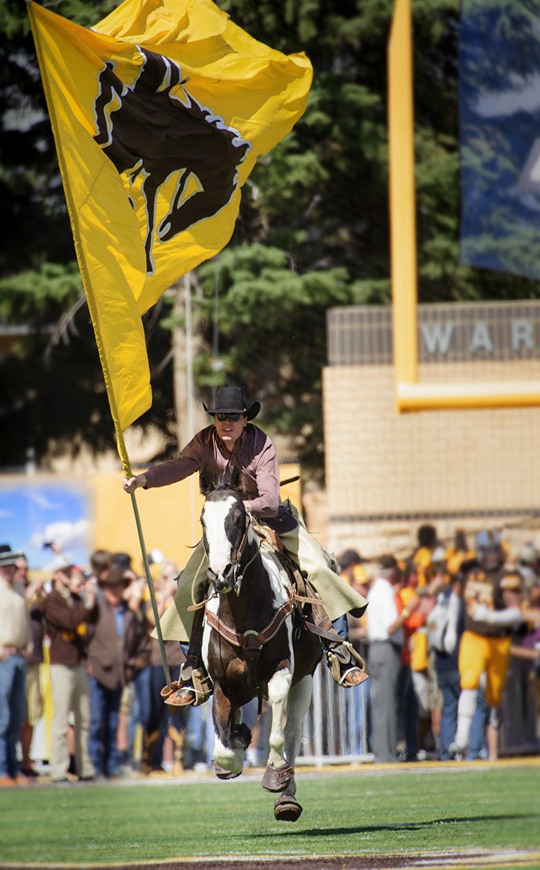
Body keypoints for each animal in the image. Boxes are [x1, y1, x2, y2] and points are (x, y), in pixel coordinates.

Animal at [200, 466, 322, 820]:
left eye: (240, 517)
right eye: (202, 520)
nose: (221, 573)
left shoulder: (284, 668)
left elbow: (280, 730)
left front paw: (275, 772)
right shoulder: (223, 683)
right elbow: (224, 749)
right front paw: (237, 744)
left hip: (306, 677)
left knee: (293, 731)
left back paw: (287, 797)